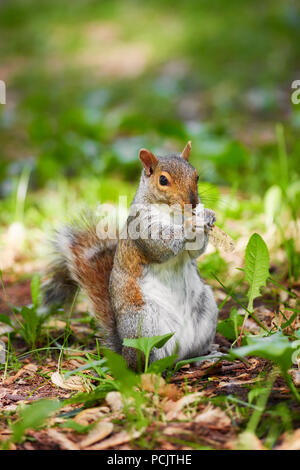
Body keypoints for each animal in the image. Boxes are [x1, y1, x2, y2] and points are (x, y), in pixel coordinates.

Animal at [42, 141, 218, 370]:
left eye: (196, 176)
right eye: (163, 180)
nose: (194, 203)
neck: (172, 214)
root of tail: (123, 350)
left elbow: (194, 251)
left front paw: (208, 216)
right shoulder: (142, 226)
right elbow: (162, 245)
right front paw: (192, 224)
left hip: (206, 309)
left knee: (190, 353)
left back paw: (206, 356)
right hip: (145, 325)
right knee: (146, 362)